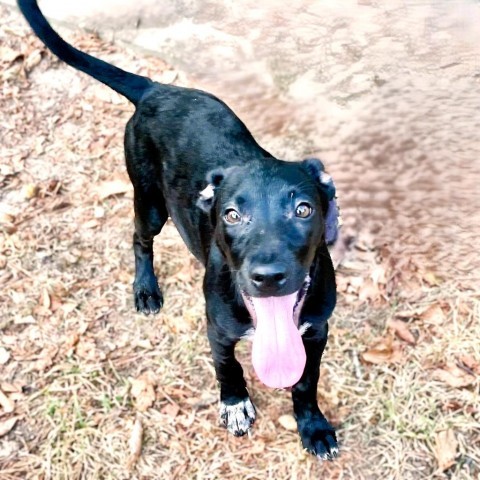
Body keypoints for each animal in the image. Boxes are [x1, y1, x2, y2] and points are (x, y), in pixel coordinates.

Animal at [18, 0, 340, 462]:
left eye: (303, 209)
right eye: (231, 215)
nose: (267, 277)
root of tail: (157, 90)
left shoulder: (316, 332)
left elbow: (305, 381)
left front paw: (312, 426)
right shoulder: (218, 329)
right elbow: (228, 366)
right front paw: (235, 403)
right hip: (150, 201)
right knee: (139, 240)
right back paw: (146, 289)